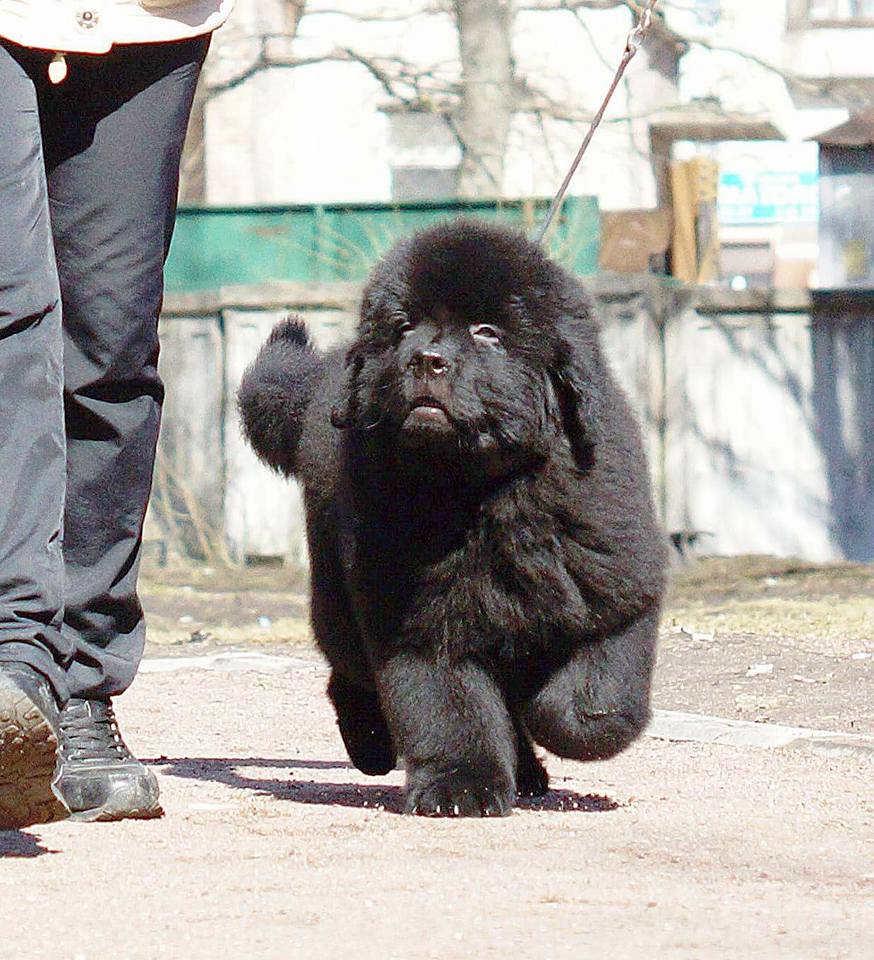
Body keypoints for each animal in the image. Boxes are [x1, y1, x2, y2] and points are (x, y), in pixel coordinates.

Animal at [235, 219, 664, 816]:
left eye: (487, 332)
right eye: (405, 327)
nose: (426, 359)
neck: (480, 493)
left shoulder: (613, 589)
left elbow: (587, 703)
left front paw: (547, 717)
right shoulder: (417, 620)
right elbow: (447, 708)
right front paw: (460, 787)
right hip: (339, 593)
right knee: (349, 670)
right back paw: (370, 742)